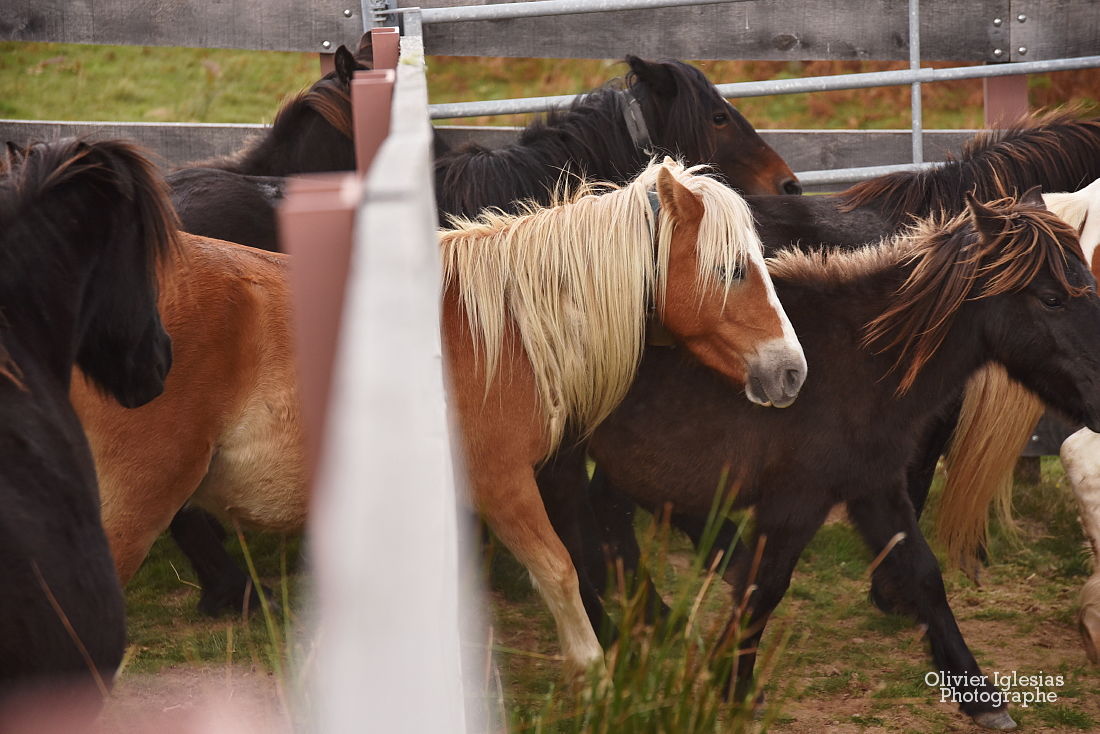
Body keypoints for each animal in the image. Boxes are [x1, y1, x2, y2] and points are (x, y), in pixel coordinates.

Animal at [440, 158, 809, 673]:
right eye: (732, 269)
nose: (793, 371)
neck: (500, 339)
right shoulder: (501, 482)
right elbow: (559, 571)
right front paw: (593, 669)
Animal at [567, 192, 1100, 730]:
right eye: (1052, 298)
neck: (856, 358)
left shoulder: (875, 487)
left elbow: (924, 576)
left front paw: (979, 695)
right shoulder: (797, 500)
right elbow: (765, 585)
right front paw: (735, 686)